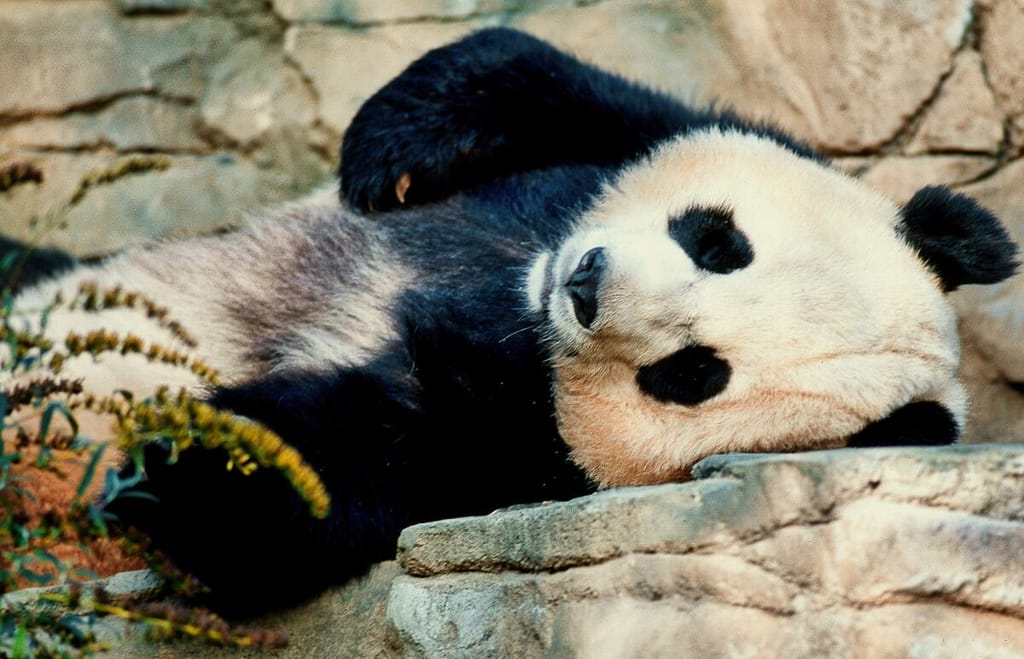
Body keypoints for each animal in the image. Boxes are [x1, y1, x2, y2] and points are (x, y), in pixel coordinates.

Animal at [4, 25, 1019, 613]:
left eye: (691, 373)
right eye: (717, 239)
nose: (587, 284)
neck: (509, 295)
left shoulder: (511, 459)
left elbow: (337, 476)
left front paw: (184, 452)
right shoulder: (628, 140)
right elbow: (550, 81)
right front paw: (387, 149)